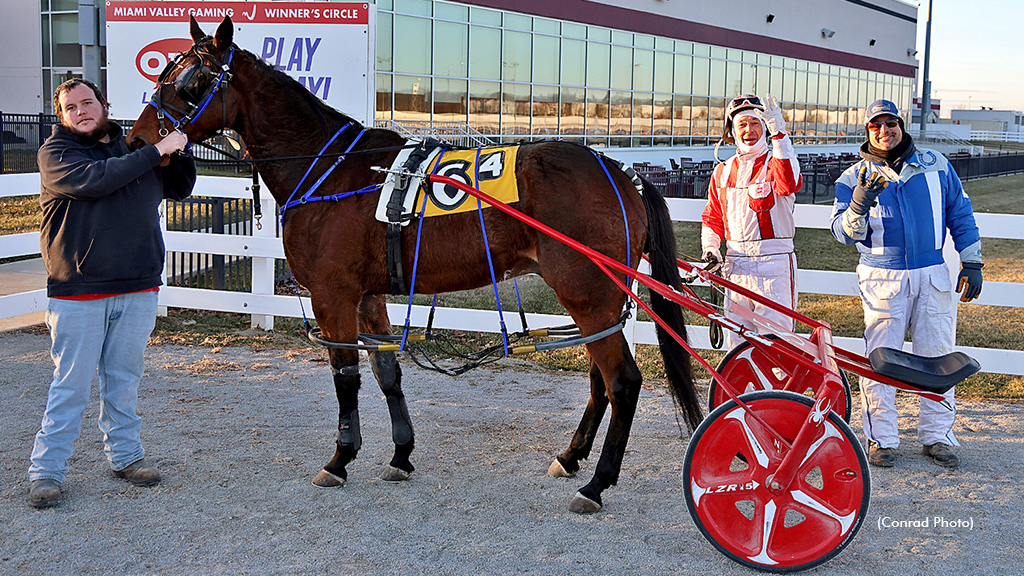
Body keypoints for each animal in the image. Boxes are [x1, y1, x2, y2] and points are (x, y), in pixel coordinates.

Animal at [127, 17, 703, 513]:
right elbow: (387, 372)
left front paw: (340, 459)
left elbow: (345, 375)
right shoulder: (368, 293)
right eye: (166, 73)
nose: (137, 139)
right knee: (599, 380)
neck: (332, 169)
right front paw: (400, 453)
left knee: (622, 381)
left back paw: (597, 482)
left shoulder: (333, 294)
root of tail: (620, 172)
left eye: (192, 81)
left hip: (587, 293)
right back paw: (571, 455)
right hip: (595, 299)